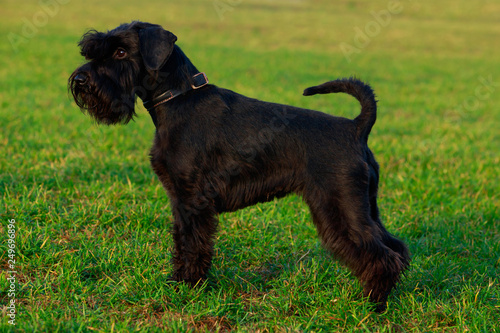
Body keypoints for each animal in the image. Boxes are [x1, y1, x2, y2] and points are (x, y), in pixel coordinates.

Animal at [68, 21, 408, 312]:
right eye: (92, 51)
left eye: (121, 52)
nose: (80, 80)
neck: (177, 99)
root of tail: (355, 128)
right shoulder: (180, 200)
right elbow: (181, 240)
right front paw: (180, 281)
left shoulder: (192, 199)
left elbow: (192, 243)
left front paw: (187, 286)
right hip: (365, 206)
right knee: (397, 248)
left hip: (340, 207)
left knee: (382, 256)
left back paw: (372, 303)